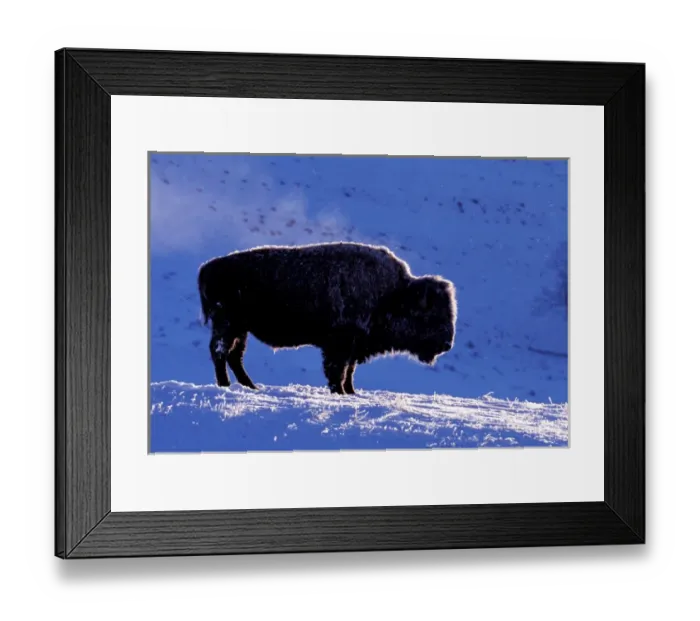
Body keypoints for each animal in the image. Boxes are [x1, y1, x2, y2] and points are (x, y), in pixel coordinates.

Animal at [198, 242, 457, 394]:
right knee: (220, 352)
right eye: (430, 316)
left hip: (240, 328)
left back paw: (251, 386)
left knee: (234, 355)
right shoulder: (340, 343)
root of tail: (207, 268)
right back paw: (226, 385)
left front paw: (351, 392)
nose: (447, 344)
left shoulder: (353, 346)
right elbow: (337, 370)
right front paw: (340, 392)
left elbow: (349, 370)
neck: (393, 294)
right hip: (227, 324)